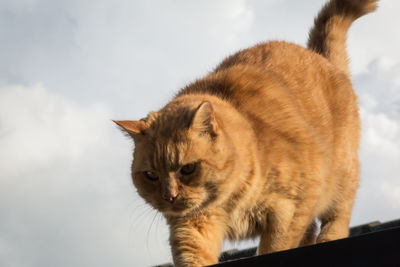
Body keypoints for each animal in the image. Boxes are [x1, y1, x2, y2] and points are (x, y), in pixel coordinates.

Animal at [114, 1, 376, 266]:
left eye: (187, 169)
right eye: (150, 175)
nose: (169, 197)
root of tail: (318, 55)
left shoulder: (290, 209)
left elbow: (277, 247)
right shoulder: (192, 225)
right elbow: (192, 255)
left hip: (342, 173)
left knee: (336, 216)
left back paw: (330, 236)